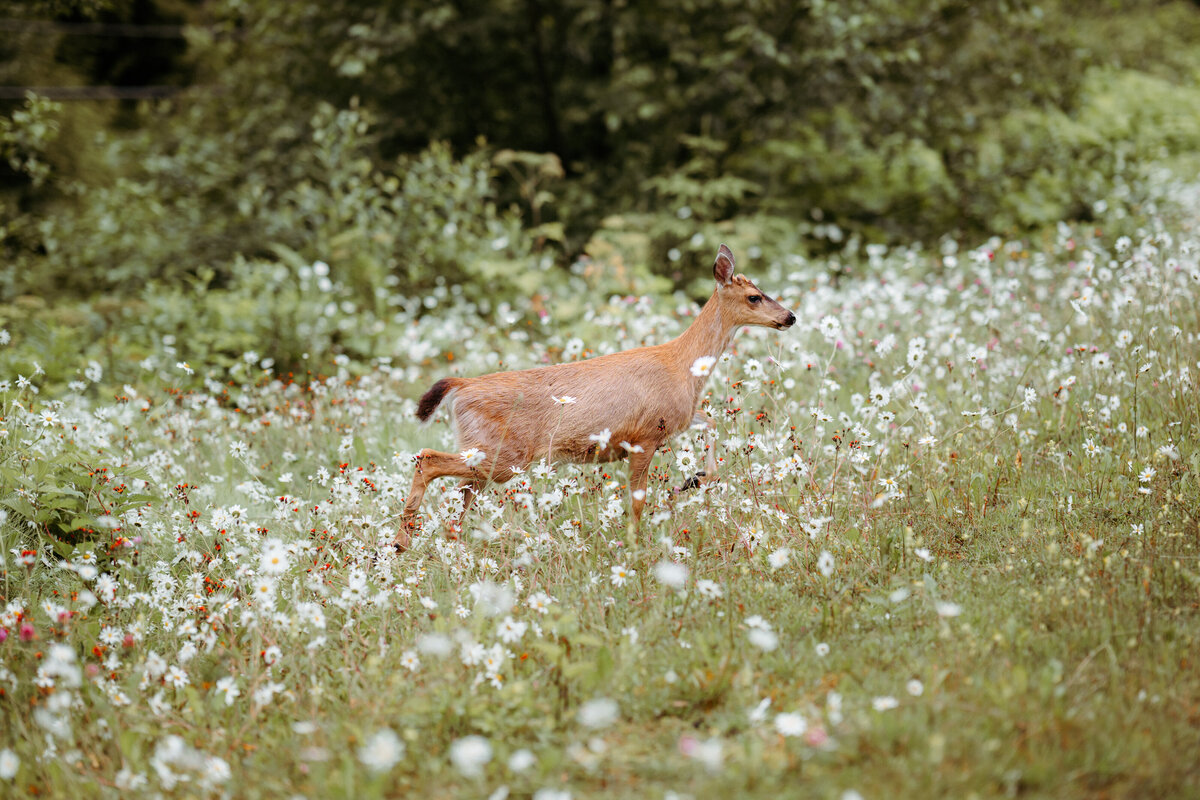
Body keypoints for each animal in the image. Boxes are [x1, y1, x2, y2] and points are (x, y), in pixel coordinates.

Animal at [392, 244, 795, 549]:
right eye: (754, 296)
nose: (790, 317)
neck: (682, 365)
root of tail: (461, 386)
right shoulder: (644, 435)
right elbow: (637, 500)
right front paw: (635, 544)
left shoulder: (676, 420)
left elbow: (710, 423)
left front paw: (694, 479)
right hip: (505, 454)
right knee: (428, 459)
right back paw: (401, 542)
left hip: (485, 451)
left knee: (460, 491)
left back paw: (446, 541)